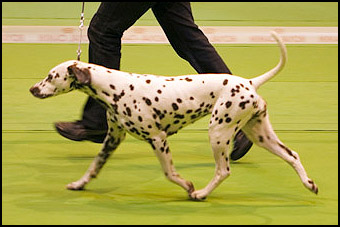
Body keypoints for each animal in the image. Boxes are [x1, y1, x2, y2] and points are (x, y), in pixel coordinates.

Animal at [29, 32, 318, 200]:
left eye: (51, 76)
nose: (32, 89)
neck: (115, 88)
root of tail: (249, 82)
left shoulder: (158, 139)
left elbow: (170, 173)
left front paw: (187, 185)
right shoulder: (112, 139)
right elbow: (93, 167)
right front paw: (79, 184)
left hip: (218, 133)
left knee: (223, 170)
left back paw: (200, 193)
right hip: (260, 135)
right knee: (292, 156)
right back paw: (309, 184)